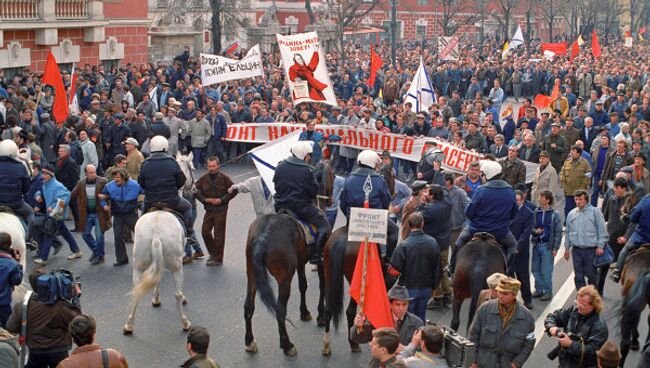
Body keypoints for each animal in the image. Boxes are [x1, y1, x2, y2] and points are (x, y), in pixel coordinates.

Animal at [121, 152, 191, 334]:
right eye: (192, 167)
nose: (191, 187)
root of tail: (157, 234)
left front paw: (156, 299)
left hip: (138, 266)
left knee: (136, 289)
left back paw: (129, 325)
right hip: (177, 266)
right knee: (177, 294)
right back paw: (185, 322)